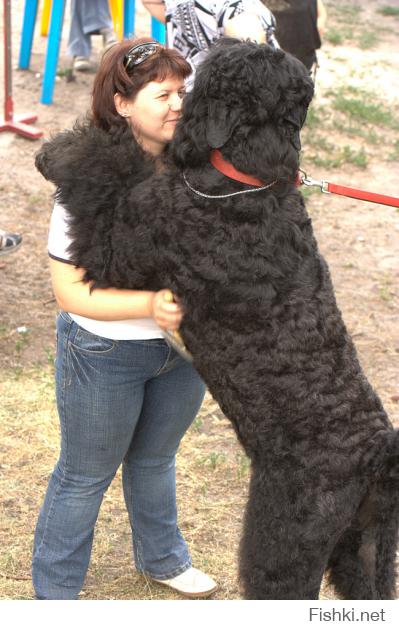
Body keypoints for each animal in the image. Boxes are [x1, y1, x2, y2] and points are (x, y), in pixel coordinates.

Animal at [36, 40, 398, 604]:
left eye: (211, 78)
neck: (247, 183)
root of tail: (378, 460)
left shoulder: (117, 251)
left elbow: (107, 172)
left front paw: (62, 151)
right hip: (364, 548)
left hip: (284, 540)